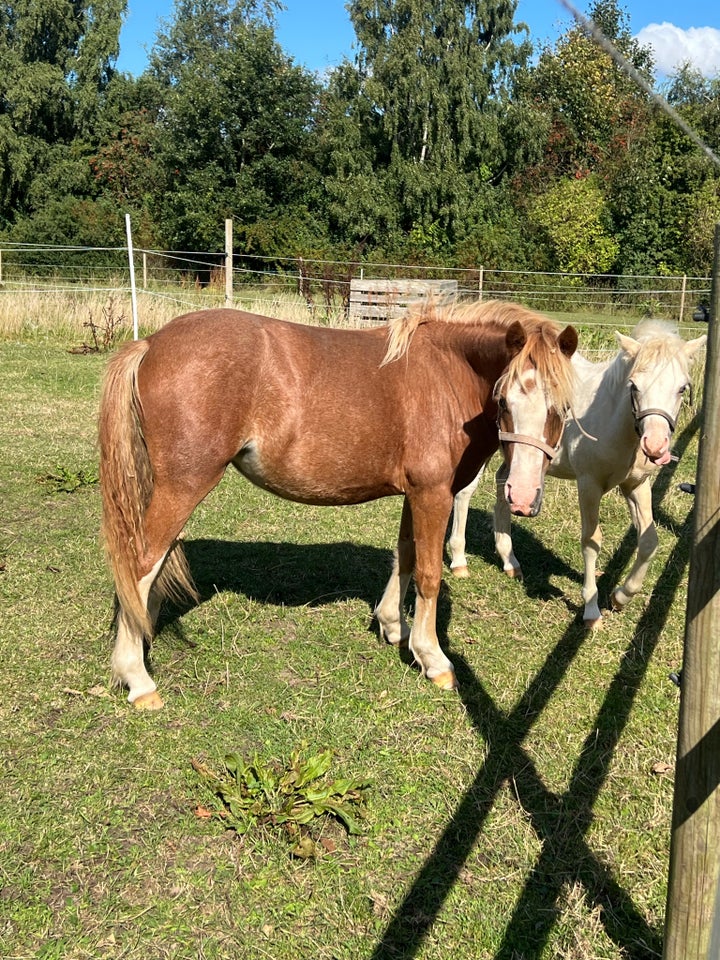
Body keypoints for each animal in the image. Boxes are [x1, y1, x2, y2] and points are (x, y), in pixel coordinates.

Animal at [98, 304, 576, 708]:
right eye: (503, 400)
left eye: (563, 408)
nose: (522, 496)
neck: (445, 375)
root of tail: (151, 343)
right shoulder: (433, 493)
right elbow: (428, 573)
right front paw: (432, 658)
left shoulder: (415, 494)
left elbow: (404, 556)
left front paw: (392, 626)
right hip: (184, 486)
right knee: (140, 564)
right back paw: (137, 678)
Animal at [448, 318, 704, 628]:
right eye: (634, 386)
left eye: (682, 388)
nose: (655, 446)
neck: (612, 419)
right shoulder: (589, 485)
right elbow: (591, 542)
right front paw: (592, 611)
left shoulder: (636, 485)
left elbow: (648, 541)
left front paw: (621, 597)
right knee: (465, 492)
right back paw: (459, 560)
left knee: (503, 487)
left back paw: (510, 561)